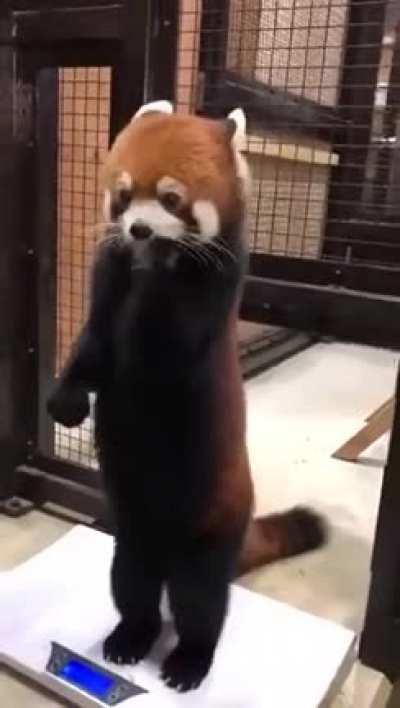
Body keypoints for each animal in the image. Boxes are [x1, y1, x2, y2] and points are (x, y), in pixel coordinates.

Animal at [48, 101, 325, 692]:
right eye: (123, 194)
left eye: (172, 198)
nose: (139, 229)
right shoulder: (107, 284)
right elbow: (91, 352)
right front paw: (66, 404)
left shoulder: (209, 296)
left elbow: (166, 348)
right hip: (130, 535)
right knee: (132, 585)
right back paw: (130, 637)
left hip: (213, 526)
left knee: (200, 602)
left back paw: (189, 660)